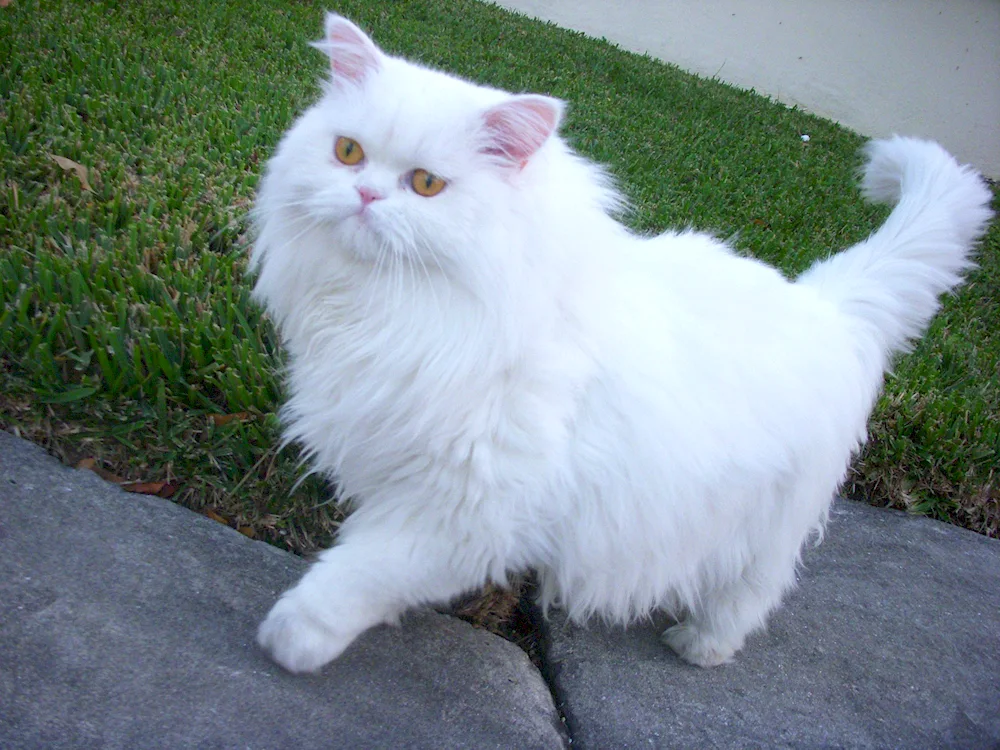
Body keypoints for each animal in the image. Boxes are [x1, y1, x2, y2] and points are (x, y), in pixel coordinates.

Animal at [250, 11, 992, 672]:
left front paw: (293, 638)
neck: (400, 310)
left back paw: (701, 648)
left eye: (426, 184)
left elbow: (359, 575)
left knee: (752, 594)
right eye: (348, 152)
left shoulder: (462, 509)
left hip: (765, 529)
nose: (365, 196)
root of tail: (823, 301)